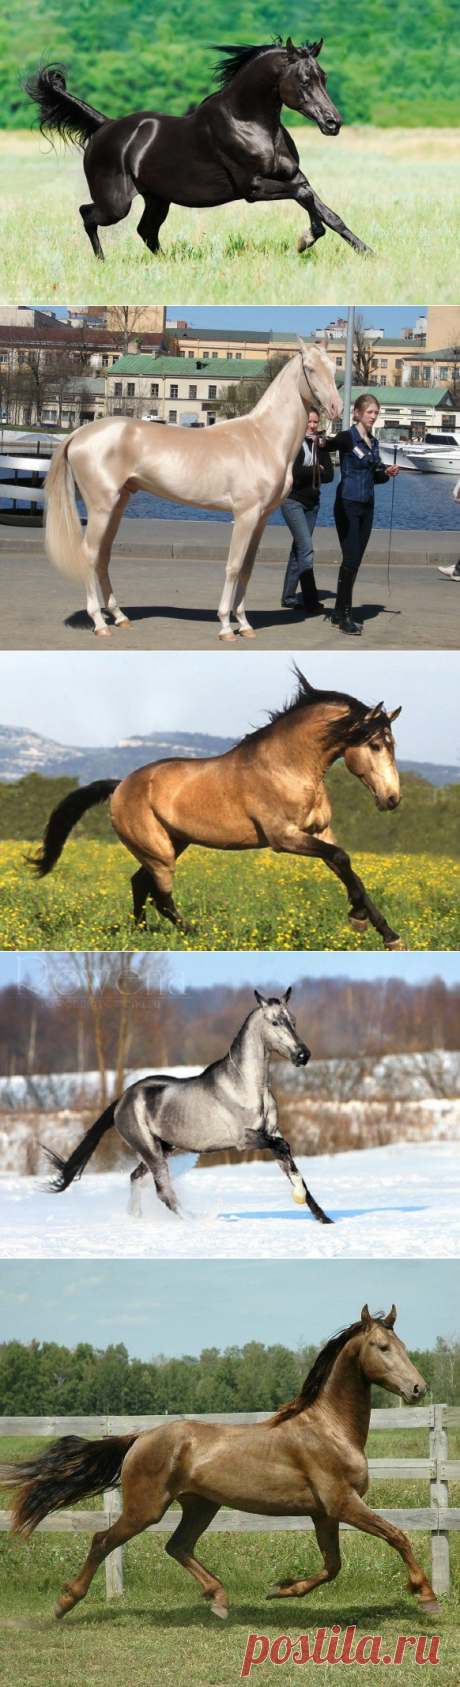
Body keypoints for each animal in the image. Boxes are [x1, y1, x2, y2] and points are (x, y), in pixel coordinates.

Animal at [0, 1306, 439, 1622]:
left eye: (402, 1345)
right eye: (382, 1347)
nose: (417, 1388)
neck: (330, 1429)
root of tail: (140, 1438)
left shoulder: (324, 1513)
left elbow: (332, 1566)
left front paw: (279, 1589)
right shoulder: (342, 1503)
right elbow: (397, 1536)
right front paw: (427, 1596)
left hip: (201, 1505)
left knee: (177, 1546)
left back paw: (220, 1600)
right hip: (146, 1508)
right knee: (102, 1541)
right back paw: (63, 1604)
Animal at [22, 44, 369, 262]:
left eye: (324, 77)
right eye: (305, 79)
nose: (333, 123)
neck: (250, 122)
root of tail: (104, 125)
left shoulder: (294, 175)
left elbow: (328, 212)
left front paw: (367, 252)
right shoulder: (253, 188)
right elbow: (305, 198)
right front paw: (304, 241)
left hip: (157, 199)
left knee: (146, 231)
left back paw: (167, 263)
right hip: (115, 204)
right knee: (87, 214)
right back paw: (101, 261)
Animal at [29, 673, 406, 950]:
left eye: (393, 745)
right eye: (375, 744)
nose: (392, 799)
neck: (288, 767)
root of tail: (121, 784)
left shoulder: (320, 832)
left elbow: (348, 869)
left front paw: (386, 933)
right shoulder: (283, 838)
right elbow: (343, 860)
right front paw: (359, 919)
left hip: (171, 845)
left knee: (140, 884)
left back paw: (140, 933)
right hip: (160, 853)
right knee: (160, 896)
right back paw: (195, 934)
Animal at [43, 343, 342, 640]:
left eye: (333, 367)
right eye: (310, 369)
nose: (336, 407)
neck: (263, 438)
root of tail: (79, 434)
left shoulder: (261, 518)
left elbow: (247, 568)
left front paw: (244, 623)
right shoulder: (245, 515)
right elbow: (233, 567)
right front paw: (226, 626)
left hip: (117, 505)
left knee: (103, 557)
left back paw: (119, 617)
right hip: (100, 508)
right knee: (89, 555)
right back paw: (100, 623)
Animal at [43, 988, 332, 1225]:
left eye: (293, 1021)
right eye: (274, 1022)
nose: (303, 1055)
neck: (249, 1087)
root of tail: (122, 1099)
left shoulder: (271, 1133)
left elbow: (292, 1166)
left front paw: (323, 1218)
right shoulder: (244, 1140)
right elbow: (284, 1148)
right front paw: (301, 1198)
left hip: (161, 1149)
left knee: (136, 1178)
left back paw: (136, 1218)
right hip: (151, 1151)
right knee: (164, 1192)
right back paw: (197, 1219)